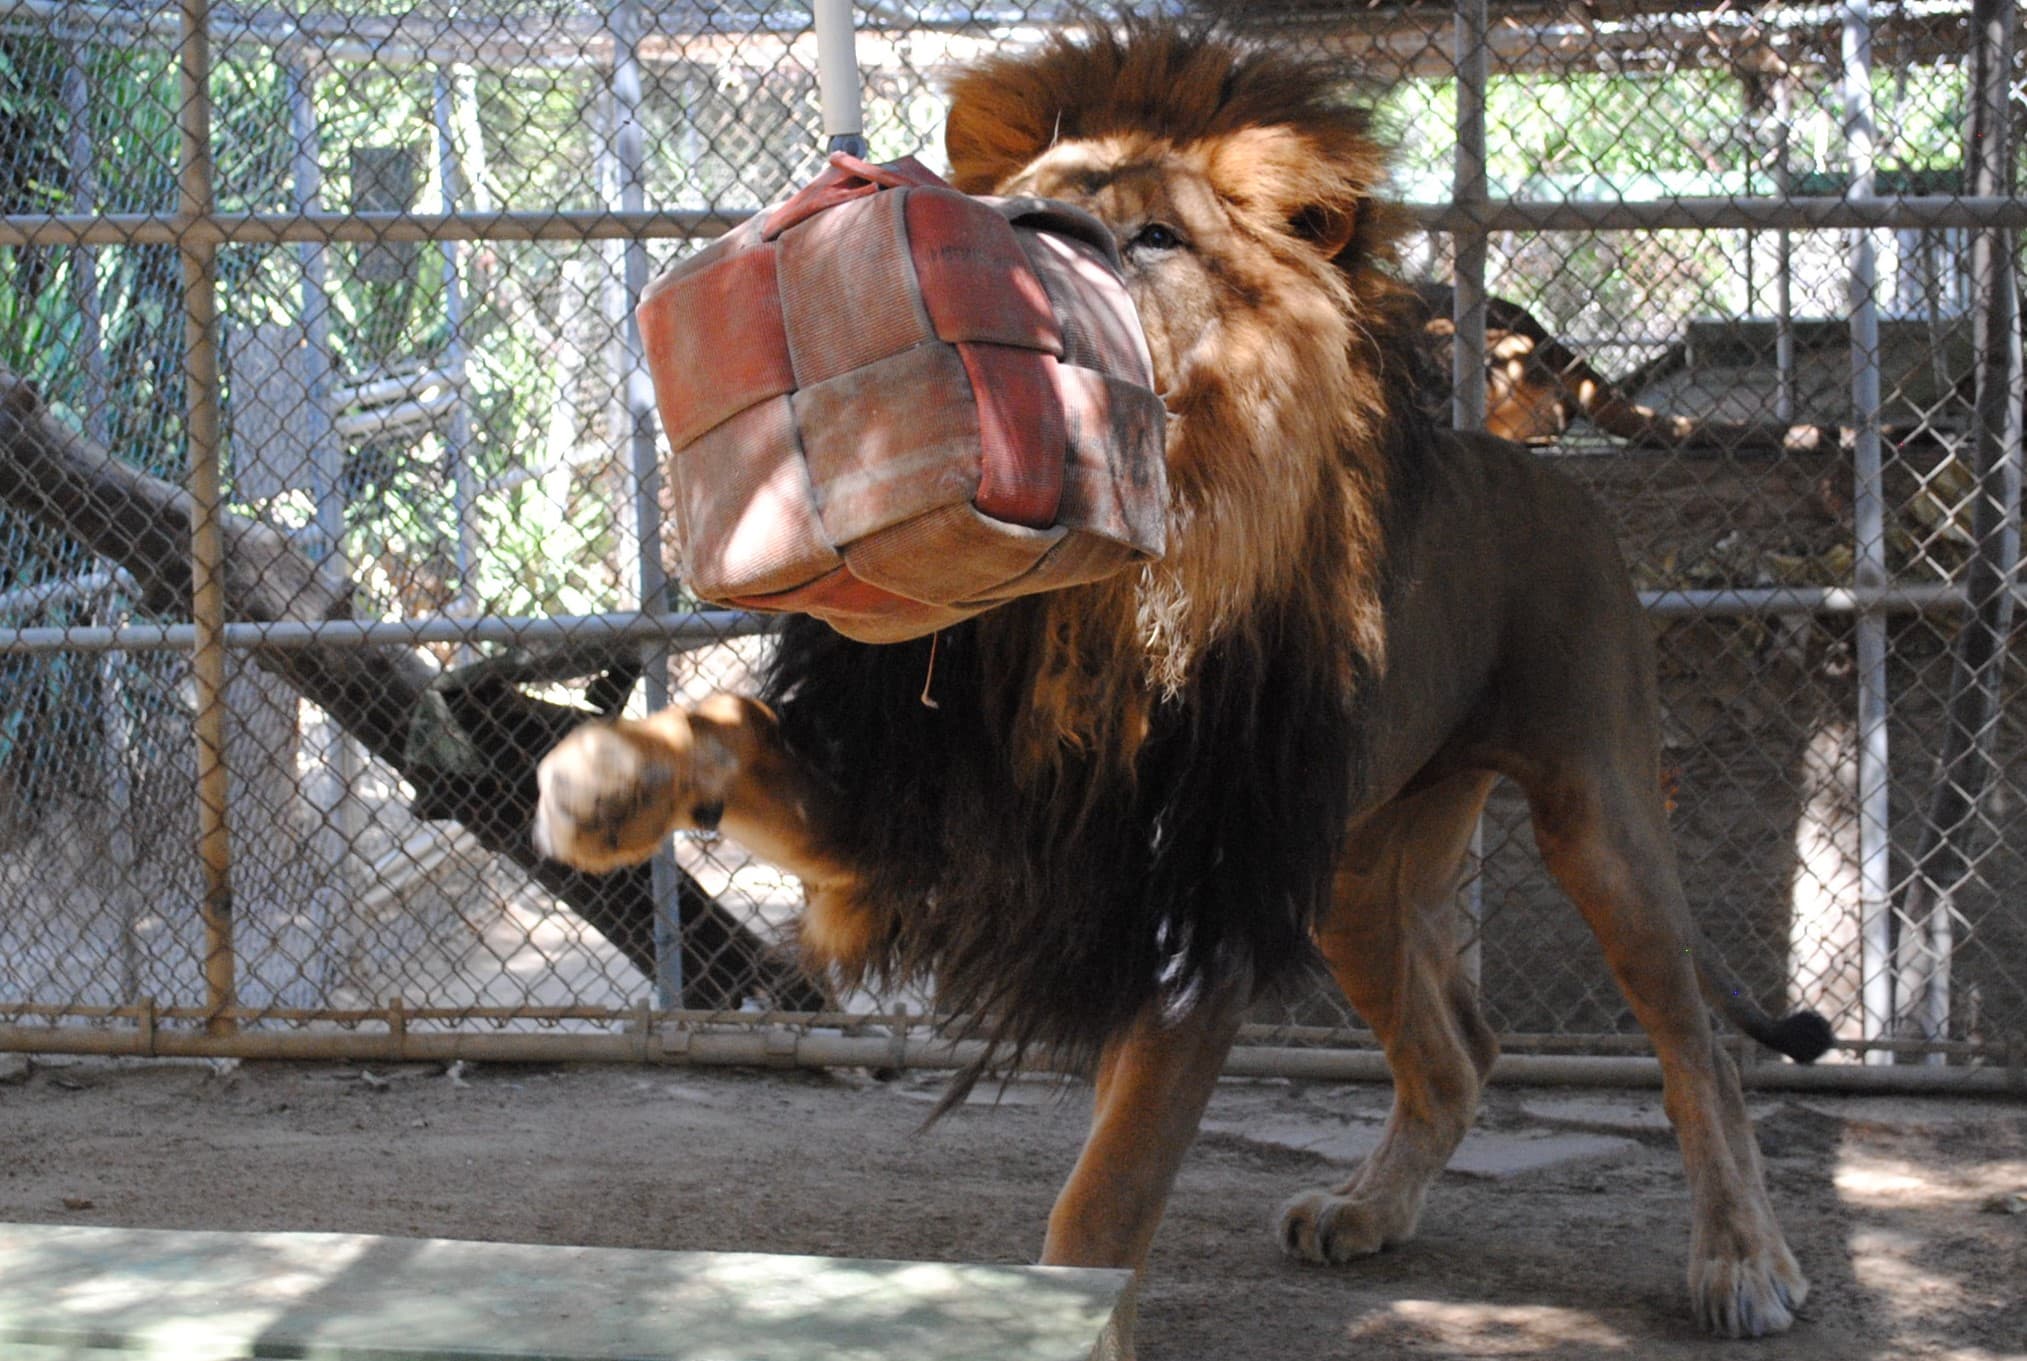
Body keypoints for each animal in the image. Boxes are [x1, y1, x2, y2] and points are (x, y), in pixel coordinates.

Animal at [531, 22, 1831, 1349]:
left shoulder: (1187, 912)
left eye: (1155, 235)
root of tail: (1539, 465)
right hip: (1352, 868)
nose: (1031, 244)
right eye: (1015, 199)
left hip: (1593, 811)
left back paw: (1742, 1260)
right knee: (1457, 1047)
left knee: (1695, 1047)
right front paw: (605, 780)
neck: (1087, 610)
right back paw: (1366, 1208)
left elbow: (1110, 1188)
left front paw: (1075, 1312)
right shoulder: (916, 802)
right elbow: (728, 720)